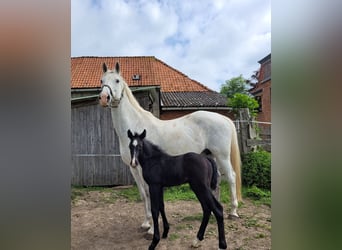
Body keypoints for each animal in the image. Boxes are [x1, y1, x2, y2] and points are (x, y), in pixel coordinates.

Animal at [99, 62, 242, 234]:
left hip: (222, 156)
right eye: (101, 81)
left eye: (117, 80)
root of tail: (224, 119)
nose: (104, 98)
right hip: (210, 156)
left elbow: (150, 194)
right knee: (218, 180)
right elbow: (143, 194)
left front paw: (152, 230)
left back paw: (233, 212)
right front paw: (146, 223)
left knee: (231, 177)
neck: (136, 127)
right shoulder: (133, 168)